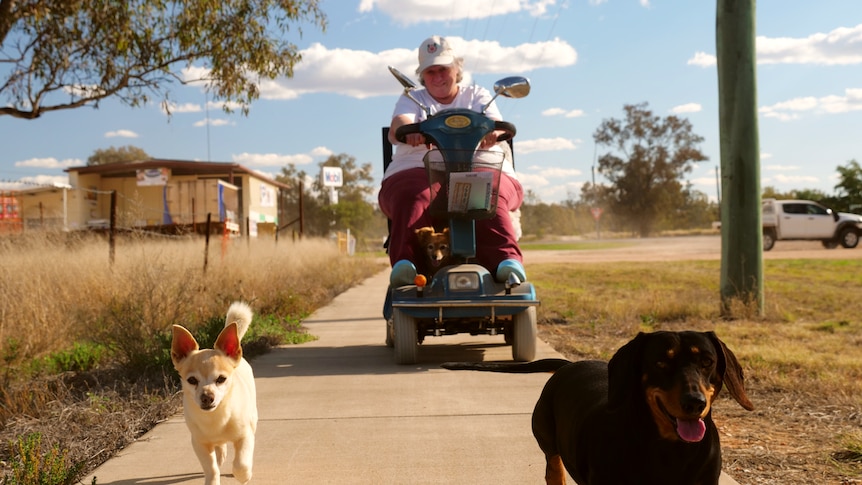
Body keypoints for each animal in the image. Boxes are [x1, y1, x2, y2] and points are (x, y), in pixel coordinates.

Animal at [171, 300, 258, 482]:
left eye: (221, 379)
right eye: (192, 380)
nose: (206, 397)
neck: (215, 418)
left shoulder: (245, 436)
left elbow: (241, 464)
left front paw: (243, 476)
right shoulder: (199, 443)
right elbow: (211, 468)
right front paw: (213, 477)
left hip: (253, 420)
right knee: (219, 450)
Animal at [446, 330, 756, 482]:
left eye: (707, 361)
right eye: (660, 362)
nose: (694, 403)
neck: (670, 450)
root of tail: (568, 366)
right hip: (548, 444)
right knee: (554, 468)